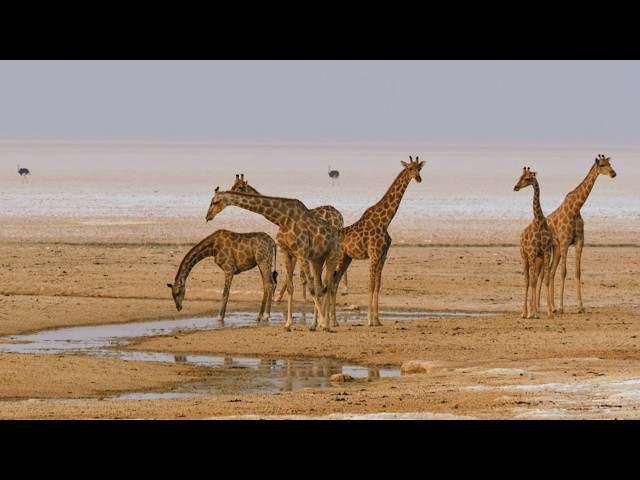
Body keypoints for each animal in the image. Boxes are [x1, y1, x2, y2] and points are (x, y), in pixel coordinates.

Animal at [208, 189, 342, 332]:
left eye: (215, 202)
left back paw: (326, 324)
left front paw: (323, 323)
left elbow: (310, 289)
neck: (282, 218)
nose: (208, 216)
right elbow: (291, 287)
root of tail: (337, 232)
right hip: (317, 259)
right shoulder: (286, 251)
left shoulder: (302, 252)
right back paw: (314, 325)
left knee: (329, 285)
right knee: (320, 286)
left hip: (331, 255)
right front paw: (288, 324)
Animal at [229, 172, 350, 300]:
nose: (230, 193)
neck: (280, 219)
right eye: (233, 185)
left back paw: (344, 288)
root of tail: (340, 216)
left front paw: (280, 297)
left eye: (240, 187)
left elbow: (292, 272)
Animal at [330, 157, 424, 326]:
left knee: (334, 284)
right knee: (329, 283)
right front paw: (368, 320)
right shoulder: (373, 255)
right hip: (338, 258)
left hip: (346, 259)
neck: (385, 222)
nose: (419, 178)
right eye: (410, 168)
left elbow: (378, 286)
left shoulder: (383, 256)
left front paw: (377, 320)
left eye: (419, 168)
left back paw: (333, 322)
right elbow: (371, 284)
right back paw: (324, 322)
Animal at [512, 167, 552, 320]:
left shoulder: (546, 252)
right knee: (527, 281)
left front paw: (548, 312)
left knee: (532, 279)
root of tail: (520, 236)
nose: (515, 187)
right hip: (524, 256)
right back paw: (524, 312)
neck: (539, 222)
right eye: (520, 176)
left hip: (535, 258)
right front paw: (532, 312)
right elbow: (532, 281)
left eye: (527, 178)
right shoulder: (532, 252)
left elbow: (545, 280)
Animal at [544, 152, 616, 314]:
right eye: (602, 165)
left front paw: (580, 306)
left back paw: (552, 307)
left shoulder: (579, 241)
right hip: (550, 248)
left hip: (556, 248)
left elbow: (577, 272)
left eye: (610, 164)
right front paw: (562, 306)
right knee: (546, 272)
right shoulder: (565, 242)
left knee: (551, 271)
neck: (576, 208)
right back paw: (548, 307)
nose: (613, 173)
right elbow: (564, 272)